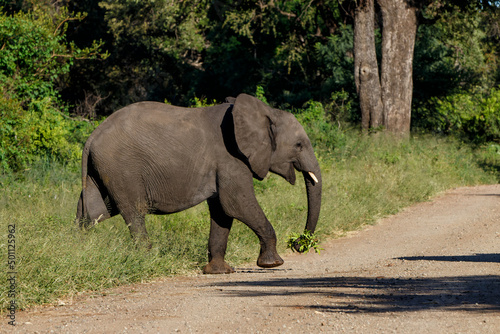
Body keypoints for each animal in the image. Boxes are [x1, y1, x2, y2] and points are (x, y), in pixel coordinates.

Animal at [76, 93, 322, 274]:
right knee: (134, 212)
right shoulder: (230, 157)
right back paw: (147, 258)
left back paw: (79, 247)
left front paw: (219, 271)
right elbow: (236, 204)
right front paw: (272, 264)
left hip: (103, 170)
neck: (265, 112)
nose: (299, 244)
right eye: (299, 145)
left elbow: (222, 211)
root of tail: (91, 138)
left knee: (95, 212)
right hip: (121, 168)